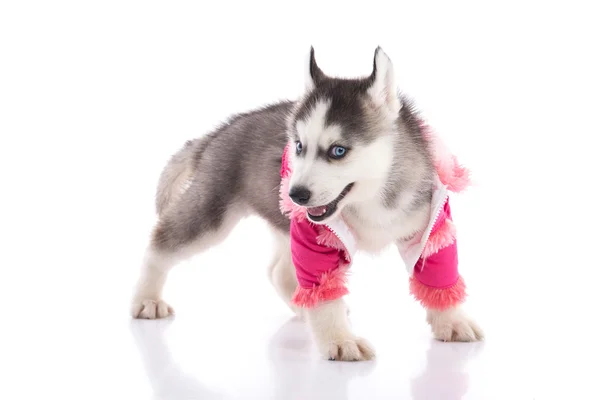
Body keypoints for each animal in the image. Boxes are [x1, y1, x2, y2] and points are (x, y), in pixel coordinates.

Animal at [131, 46, 482, 360]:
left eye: (338, 151)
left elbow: (440, 274)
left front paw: (452, 320)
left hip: (282, 223)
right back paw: (147, 298)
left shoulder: (431, 224)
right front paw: (340, 340)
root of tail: (218, 133)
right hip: (213, 212)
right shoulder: (315, 235)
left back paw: (301, 305)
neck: (371, 197)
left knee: (278, 272)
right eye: (299, 146)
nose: (294, 195)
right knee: (161, 242)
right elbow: (323, 291)